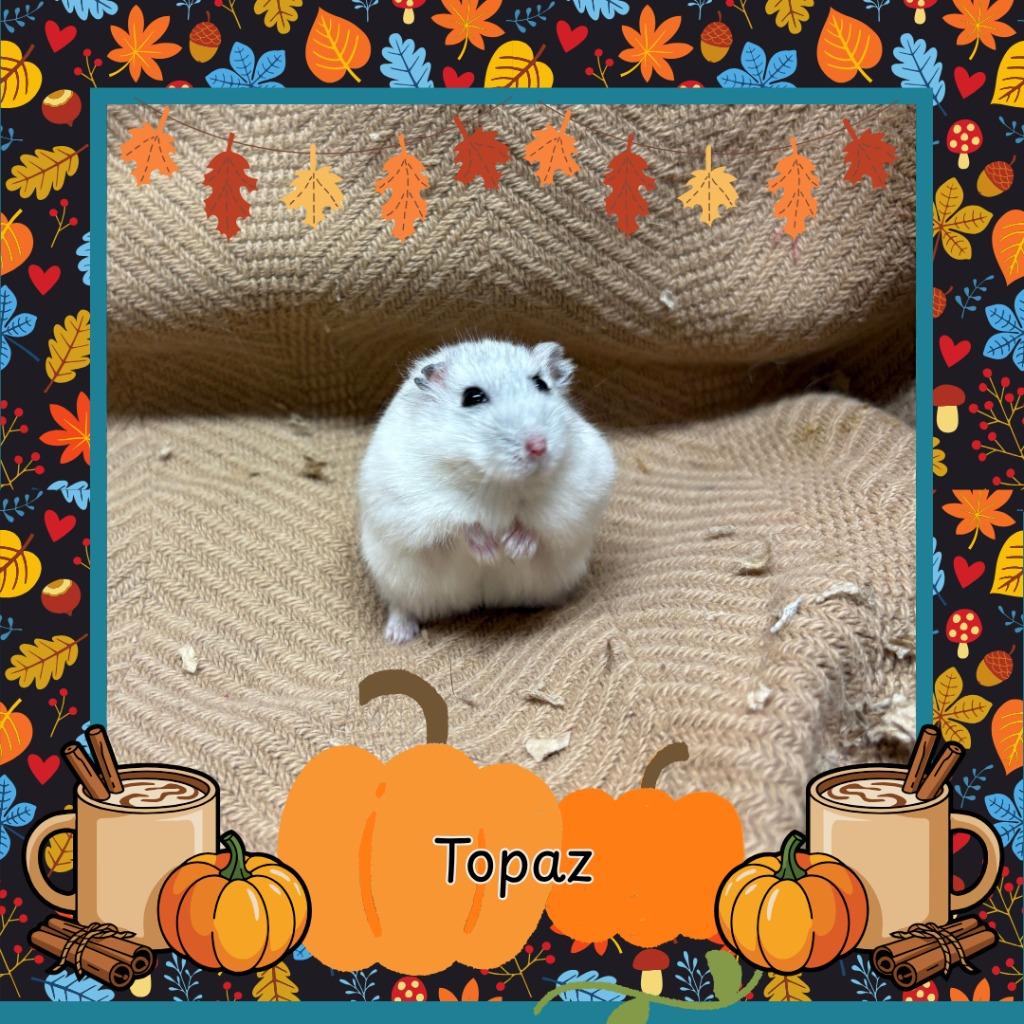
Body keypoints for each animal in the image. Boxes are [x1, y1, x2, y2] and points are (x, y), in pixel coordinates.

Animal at [357, 339, 616, 643]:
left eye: (541, 384)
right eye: (472, 397)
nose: (538, 446)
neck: (497, 482)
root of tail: (484, 601)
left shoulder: (578, 490)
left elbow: (537, 521)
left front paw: (514, 548)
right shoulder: (418, 502)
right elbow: (461, 525)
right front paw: (491, 552)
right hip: (397, 581)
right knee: (402, 606)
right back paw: (398, 636)